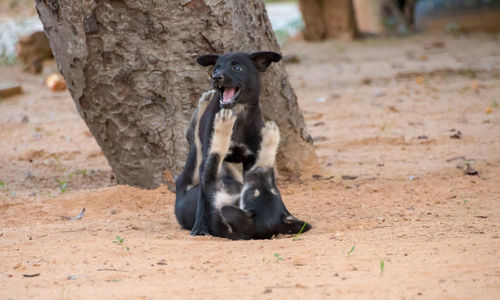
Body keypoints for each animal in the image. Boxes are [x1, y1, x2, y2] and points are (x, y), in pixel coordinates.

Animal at [174, 51, 310, 239]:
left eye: (237, 67)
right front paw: (200, 228)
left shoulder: (251, 159)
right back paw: (206, 101)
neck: (238, 115)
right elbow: (203, 196)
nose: (216, 77)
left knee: (193, 147)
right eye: (216, 67)